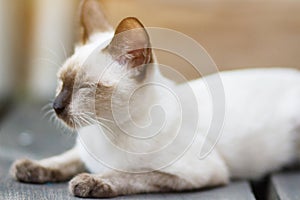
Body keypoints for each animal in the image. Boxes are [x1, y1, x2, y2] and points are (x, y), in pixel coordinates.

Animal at [9, 0, 300, 198]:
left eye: (86, 88)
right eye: (61, 82)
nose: (56, 106)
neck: (106, 131)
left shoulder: (198, 172)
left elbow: (130, 175)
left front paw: (90, 183)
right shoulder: (82, 151)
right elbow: (63, 159)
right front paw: (29, 168)